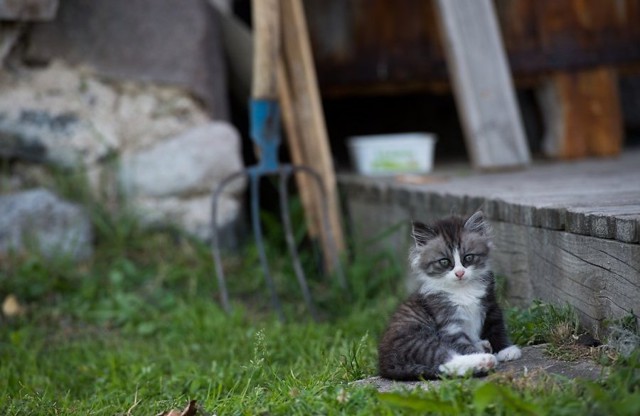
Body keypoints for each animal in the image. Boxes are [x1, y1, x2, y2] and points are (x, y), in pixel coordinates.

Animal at [380, 211, 520, 380]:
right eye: (445, 262)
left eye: (468, 257)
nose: (459, 273)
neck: (463, 289)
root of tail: (385, 365)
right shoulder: (448, 322)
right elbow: (461, 344)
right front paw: (478, 352)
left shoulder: (490, 304)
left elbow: (496, 327)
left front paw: (505, 350)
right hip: (416, 340)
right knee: (444, 360)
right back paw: (483, 360)